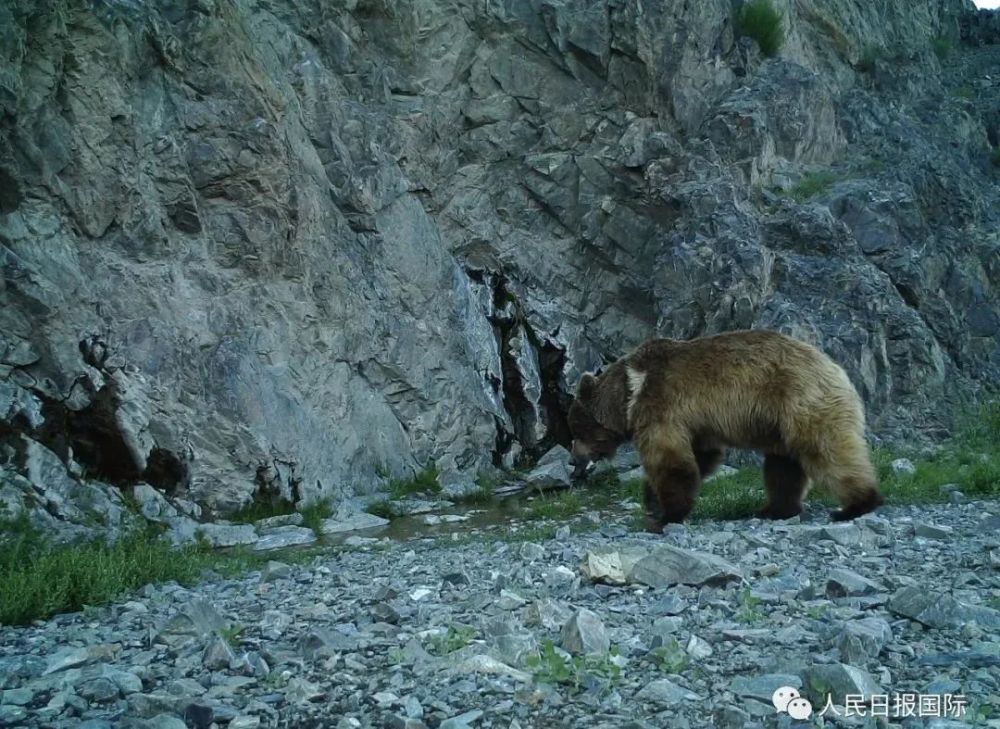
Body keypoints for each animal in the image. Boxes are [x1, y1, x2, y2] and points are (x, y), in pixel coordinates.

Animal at [568, 330, 888, 528]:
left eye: (576, 431)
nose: (574, 460)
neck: (629, 393)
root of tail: (836, 367)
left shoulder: (661, 406)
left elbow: (670, 460)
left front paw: (666, 515)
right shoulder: (696, 424)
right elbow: (700, 457)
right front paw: (653, 501)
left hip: (801, 401)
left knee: (827, 451)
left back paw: (856, 504)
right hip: (780, 422)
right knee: (783, 466)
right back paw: (776, 509)